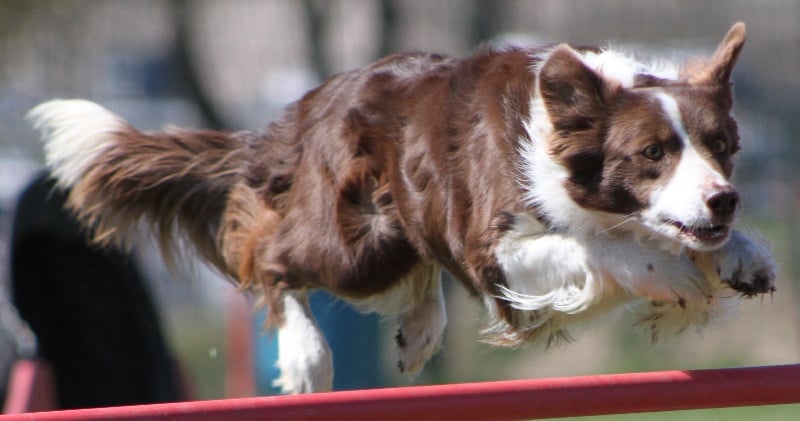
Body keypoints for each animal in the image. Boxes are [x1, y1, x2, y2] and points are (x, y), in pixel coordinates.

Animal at [29, 22, 776, 394]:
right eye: (651, 154)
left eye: (722, 147)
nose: (725, 198)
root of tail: (302, 110)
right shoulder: (496, 247)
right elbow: (599, 247)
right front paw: (667, 269)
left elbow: (697, 246)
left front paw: (744, 257)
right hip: (356, 239)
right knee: (269, 258)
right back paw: (306, 357)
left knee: (418, 270)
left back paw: (417, 331)